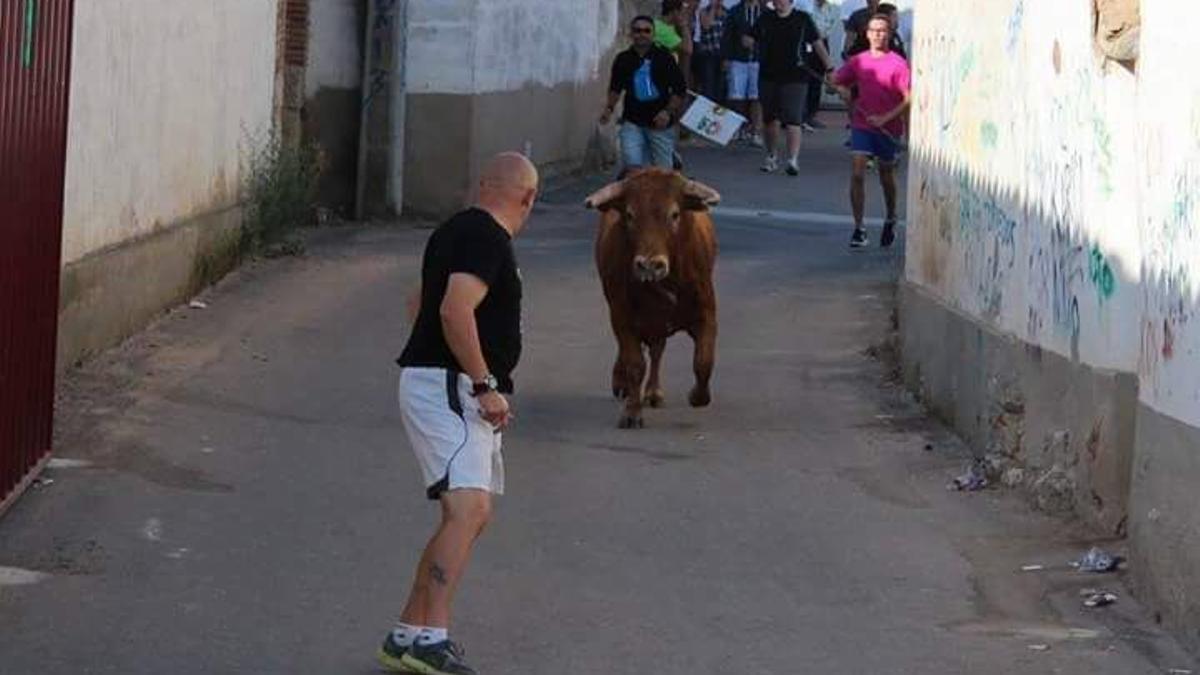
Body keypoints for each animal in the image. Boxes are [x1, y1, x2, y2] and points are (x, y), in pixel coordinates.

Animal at [583, 166, 715, 425]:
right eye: (630, 215)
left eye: (674, 214)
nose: (649, 266)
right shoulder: (621, 315)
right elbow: (634, 363)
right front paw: (632, 412)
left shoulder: (706, 311)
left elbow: (703, 361)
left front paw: (697, 397)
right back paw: (624, 384)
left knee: (657, 351)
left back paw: (654, 392)